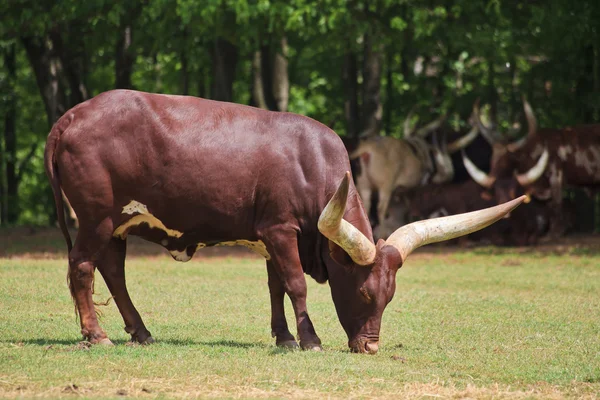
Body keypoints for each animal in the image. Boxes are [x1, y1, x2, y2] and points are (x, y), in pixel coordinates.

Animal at [45, 90, 524, 354]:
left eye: (390, 296)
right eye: (365, 293)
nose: (370, 347)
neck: (311, 165)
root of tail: (71, 116)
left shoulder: (270, 235)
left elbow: (275, 285)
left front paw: (284, 337)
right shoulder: (281, 230)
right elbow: (295, 284)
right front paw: (309, 339)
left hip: (119, 223)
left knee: (113, 272)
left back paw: (141, 332)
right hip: (96, 217)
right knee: (83, 268)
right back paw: (97, 335)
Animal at [464, 99, 600, 236]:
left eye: (510, 158)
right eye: (493, 157)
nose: (506, 217)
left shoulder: (556, 175)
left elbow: (556, 202)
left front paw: (555, 232)